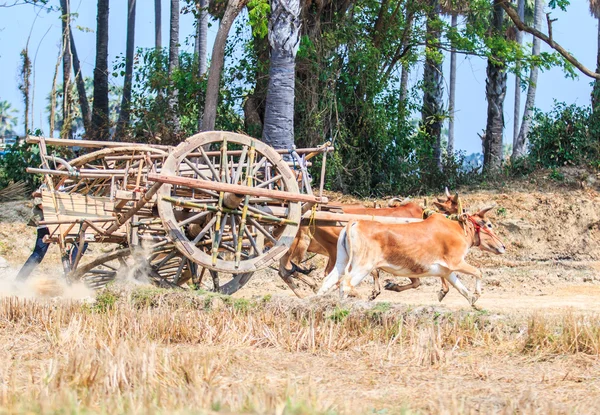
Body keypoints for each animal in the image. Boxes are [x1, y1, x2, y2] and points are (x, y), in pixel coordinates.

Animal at [316, 207, 504, 306]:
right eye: (489, 225)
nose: (503, 246)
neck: (458, 229)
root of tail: (355, 222)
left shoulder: (446, 271)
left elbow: (461, 288)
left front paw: (473, 302)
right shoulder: (456, 262)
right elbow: (479, 272)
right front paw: (477, 294)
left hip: (342, 262)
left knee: (328, 281)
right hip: (363, 266)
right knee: (346, 284)